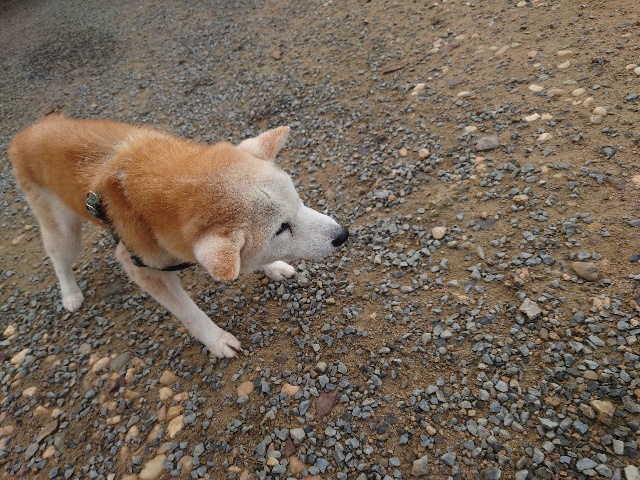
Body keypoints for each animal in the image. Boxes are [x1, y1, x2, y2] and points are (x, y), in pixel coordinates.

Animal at [8, 115, 348, 358]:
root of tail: (26, 132)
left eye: (299, 201)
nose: (342, 234)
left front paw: (273, 266)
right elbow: (189, 312)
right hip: (64, 230)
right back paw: (70, 294)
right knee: (58, 258)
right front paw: (217, 340)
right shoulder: (142, 267)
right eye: (281, 229)